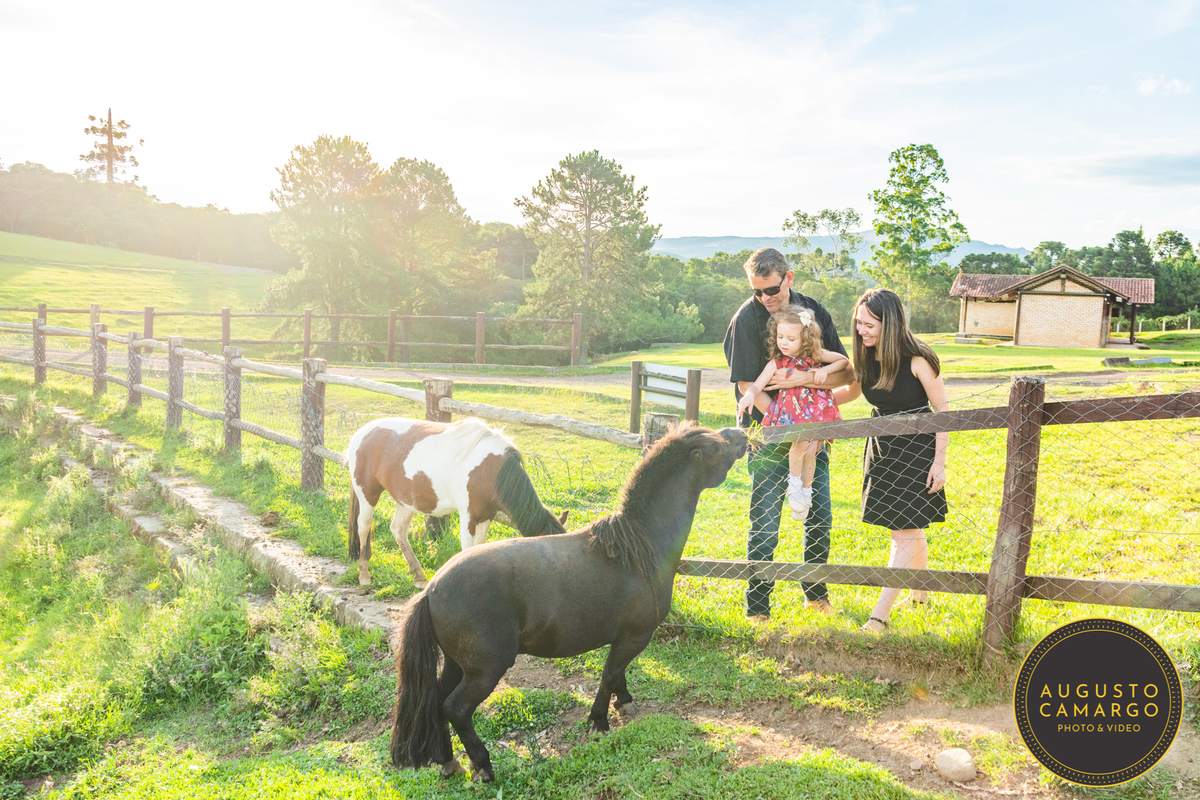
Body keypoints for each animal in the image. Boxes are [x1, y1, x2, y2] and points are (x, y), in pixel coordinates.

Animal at [345, 416, 568, 588]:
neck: (492, 472)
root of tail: (361, 433)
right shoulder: (468, 517)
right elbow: (467, 550)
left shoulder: (487, 517)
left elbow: (480, 548)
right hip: (367, 494)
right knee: (363, 527)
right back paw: (364, 574)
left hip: (406, 500)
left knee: (398, 529)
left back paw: (418, 575)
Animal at [389, 423, 748, 782]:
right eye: (717, 446)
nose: (744, 436)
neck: (639, 548)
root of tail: (431, 589)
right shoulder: (634, 637)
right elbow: (609, 675)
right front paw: (600, 721)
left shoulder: (622, 639)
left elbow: (617, 674)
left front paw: (624, 702)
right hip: (485, 670)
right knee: (456, 708)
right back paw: (483, 765)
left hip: (456, 663)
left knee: (436, 702)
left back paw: (449, 761)